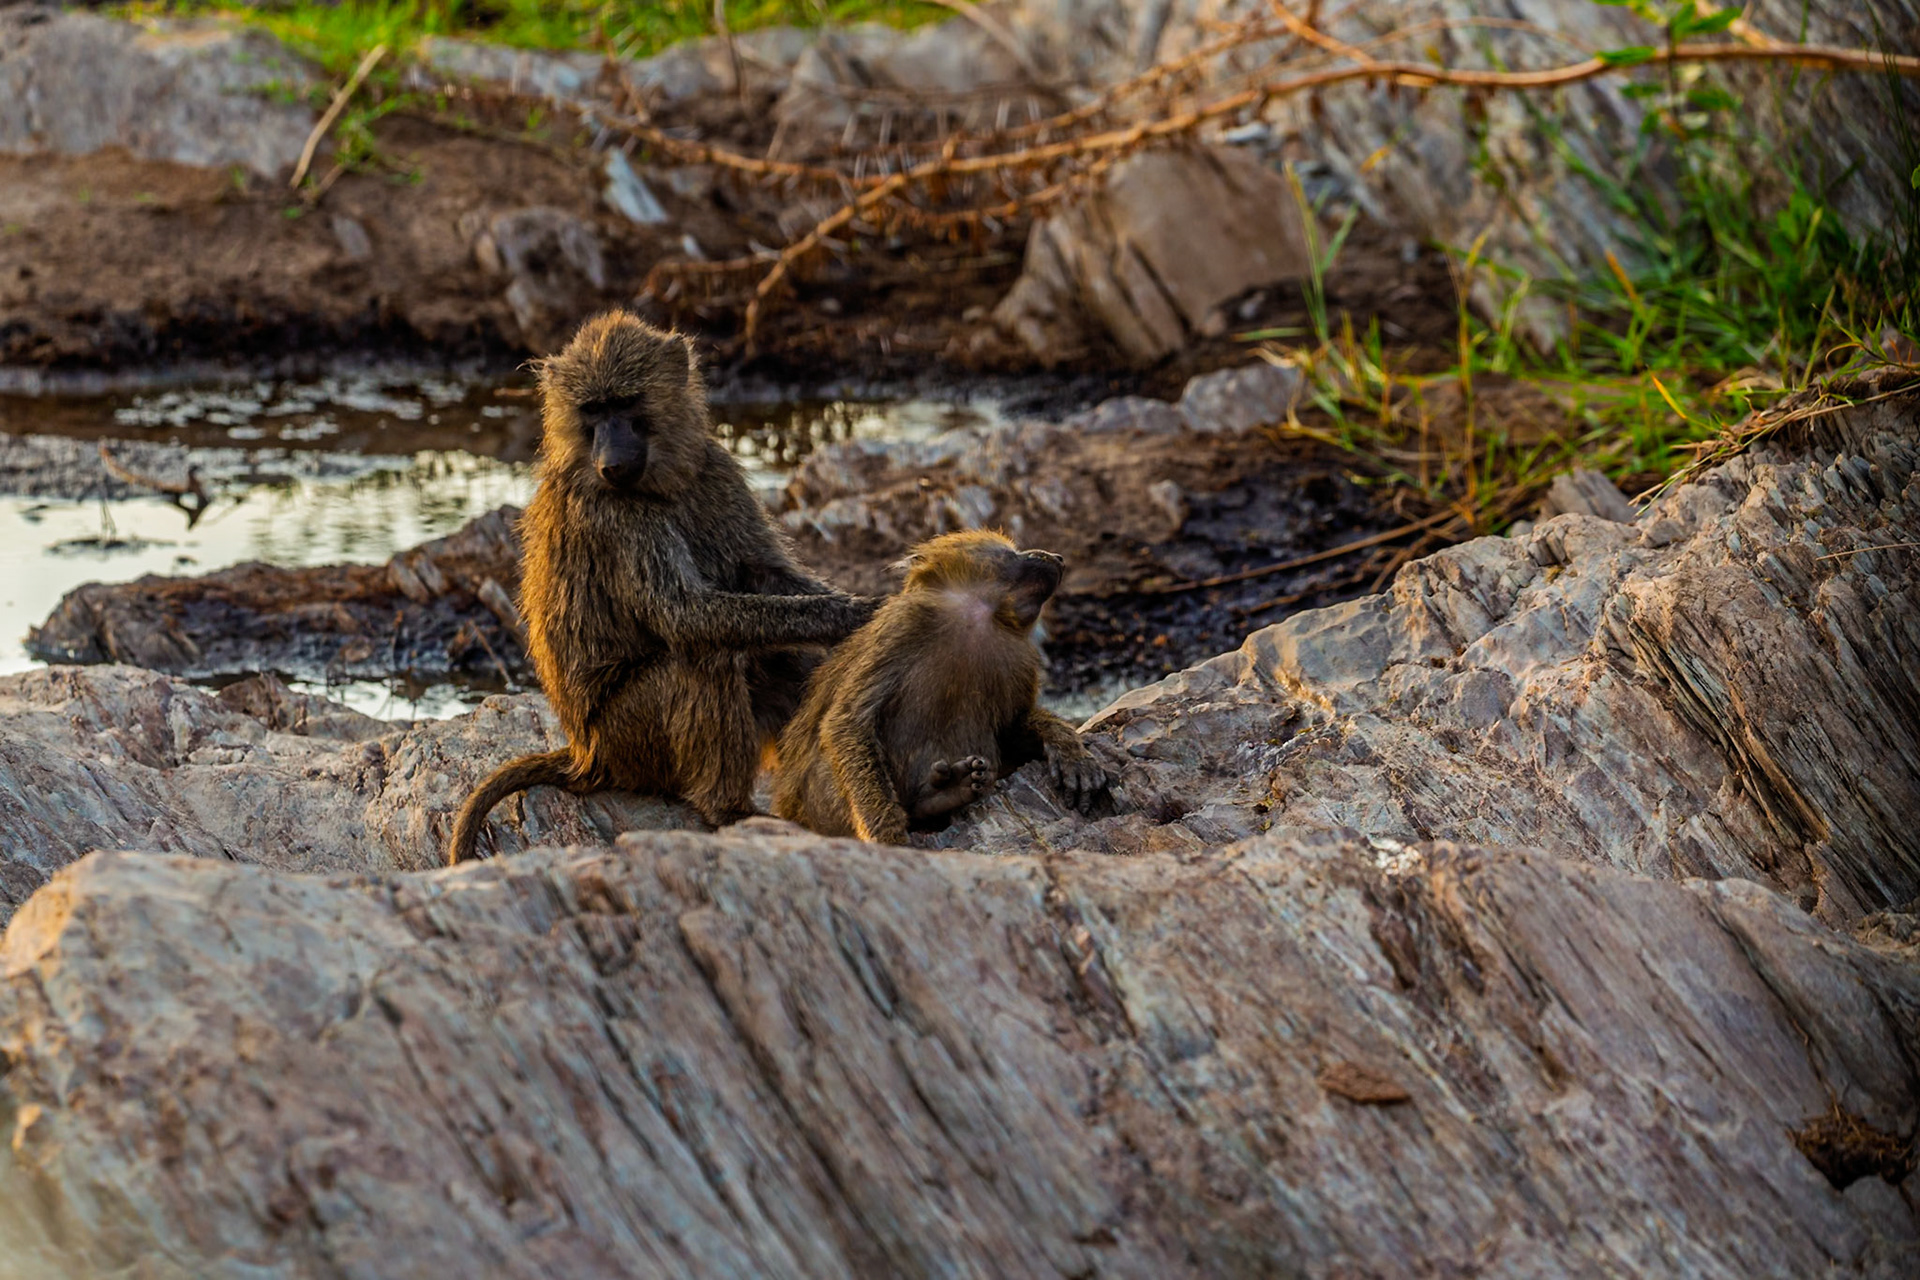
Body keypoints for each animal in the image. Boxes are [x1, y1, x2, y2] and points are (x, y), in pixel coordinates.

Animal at [448, 311, 878, 865]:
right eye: (594, 410)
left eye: (626, 403)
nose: (611, 460)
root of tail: (583, 755)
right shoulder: (614, 516)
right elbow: (685, 615)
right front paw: (849, 615)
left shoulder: (715, 469)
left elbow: (762, 573)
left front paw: (863, 602)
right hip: (628, 739)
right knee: (704, 657)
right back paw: (726, 810)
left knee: (780, 654)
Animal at [771, 529, 1109, 844]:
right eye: (1010, 553)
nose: (1057, 557)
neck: (974, 620)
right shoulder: (904, 624)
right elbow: (848, 722)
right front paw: (889, 838)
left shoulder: (1019, 656)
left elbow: (1011, 728)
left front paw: (1068, 751)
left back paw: (942, 796)